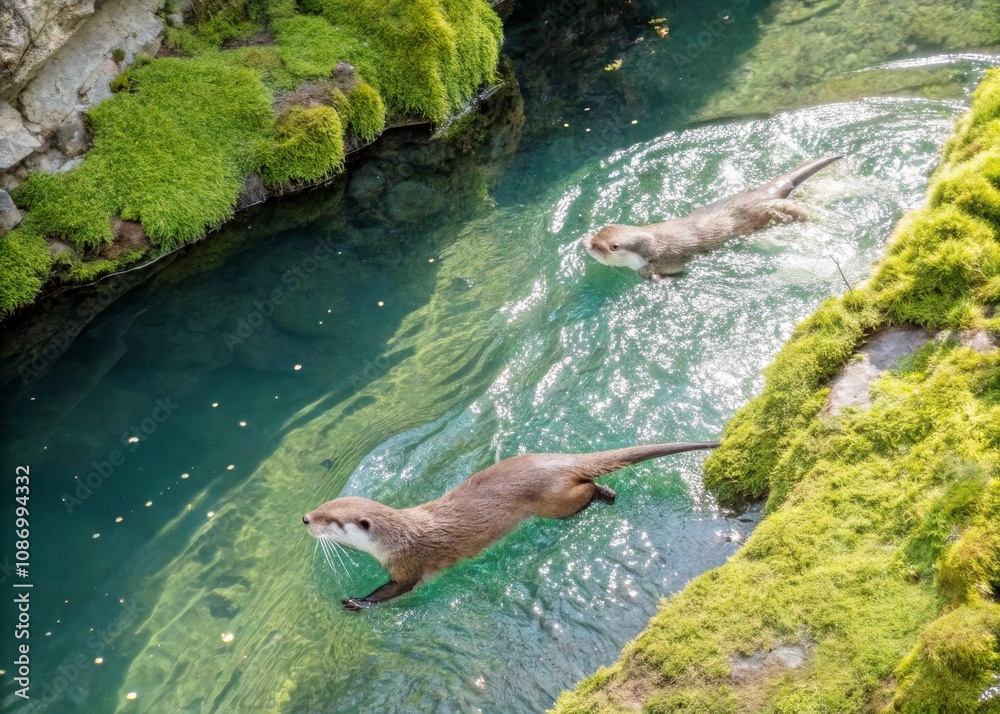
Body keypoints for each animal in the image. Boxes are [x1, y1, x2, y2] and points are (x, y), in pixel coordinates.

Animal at [303, 441, 718, 609]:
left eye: (331, 521)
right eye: (322, 506)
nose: (305, 518)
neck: (400, 535)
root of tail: (561, 460)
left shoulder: (409, 566)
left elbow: (395, 591)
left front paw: (357, 601)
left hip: (555, 504)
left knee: (585, 491)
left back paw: (607, 492)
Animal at [583, 155, 843, 280]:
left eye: (612, 246)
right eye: (599, 232)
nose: (589, 244)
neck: (654, 241)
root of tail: (763, 191)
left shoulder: (664, 262)